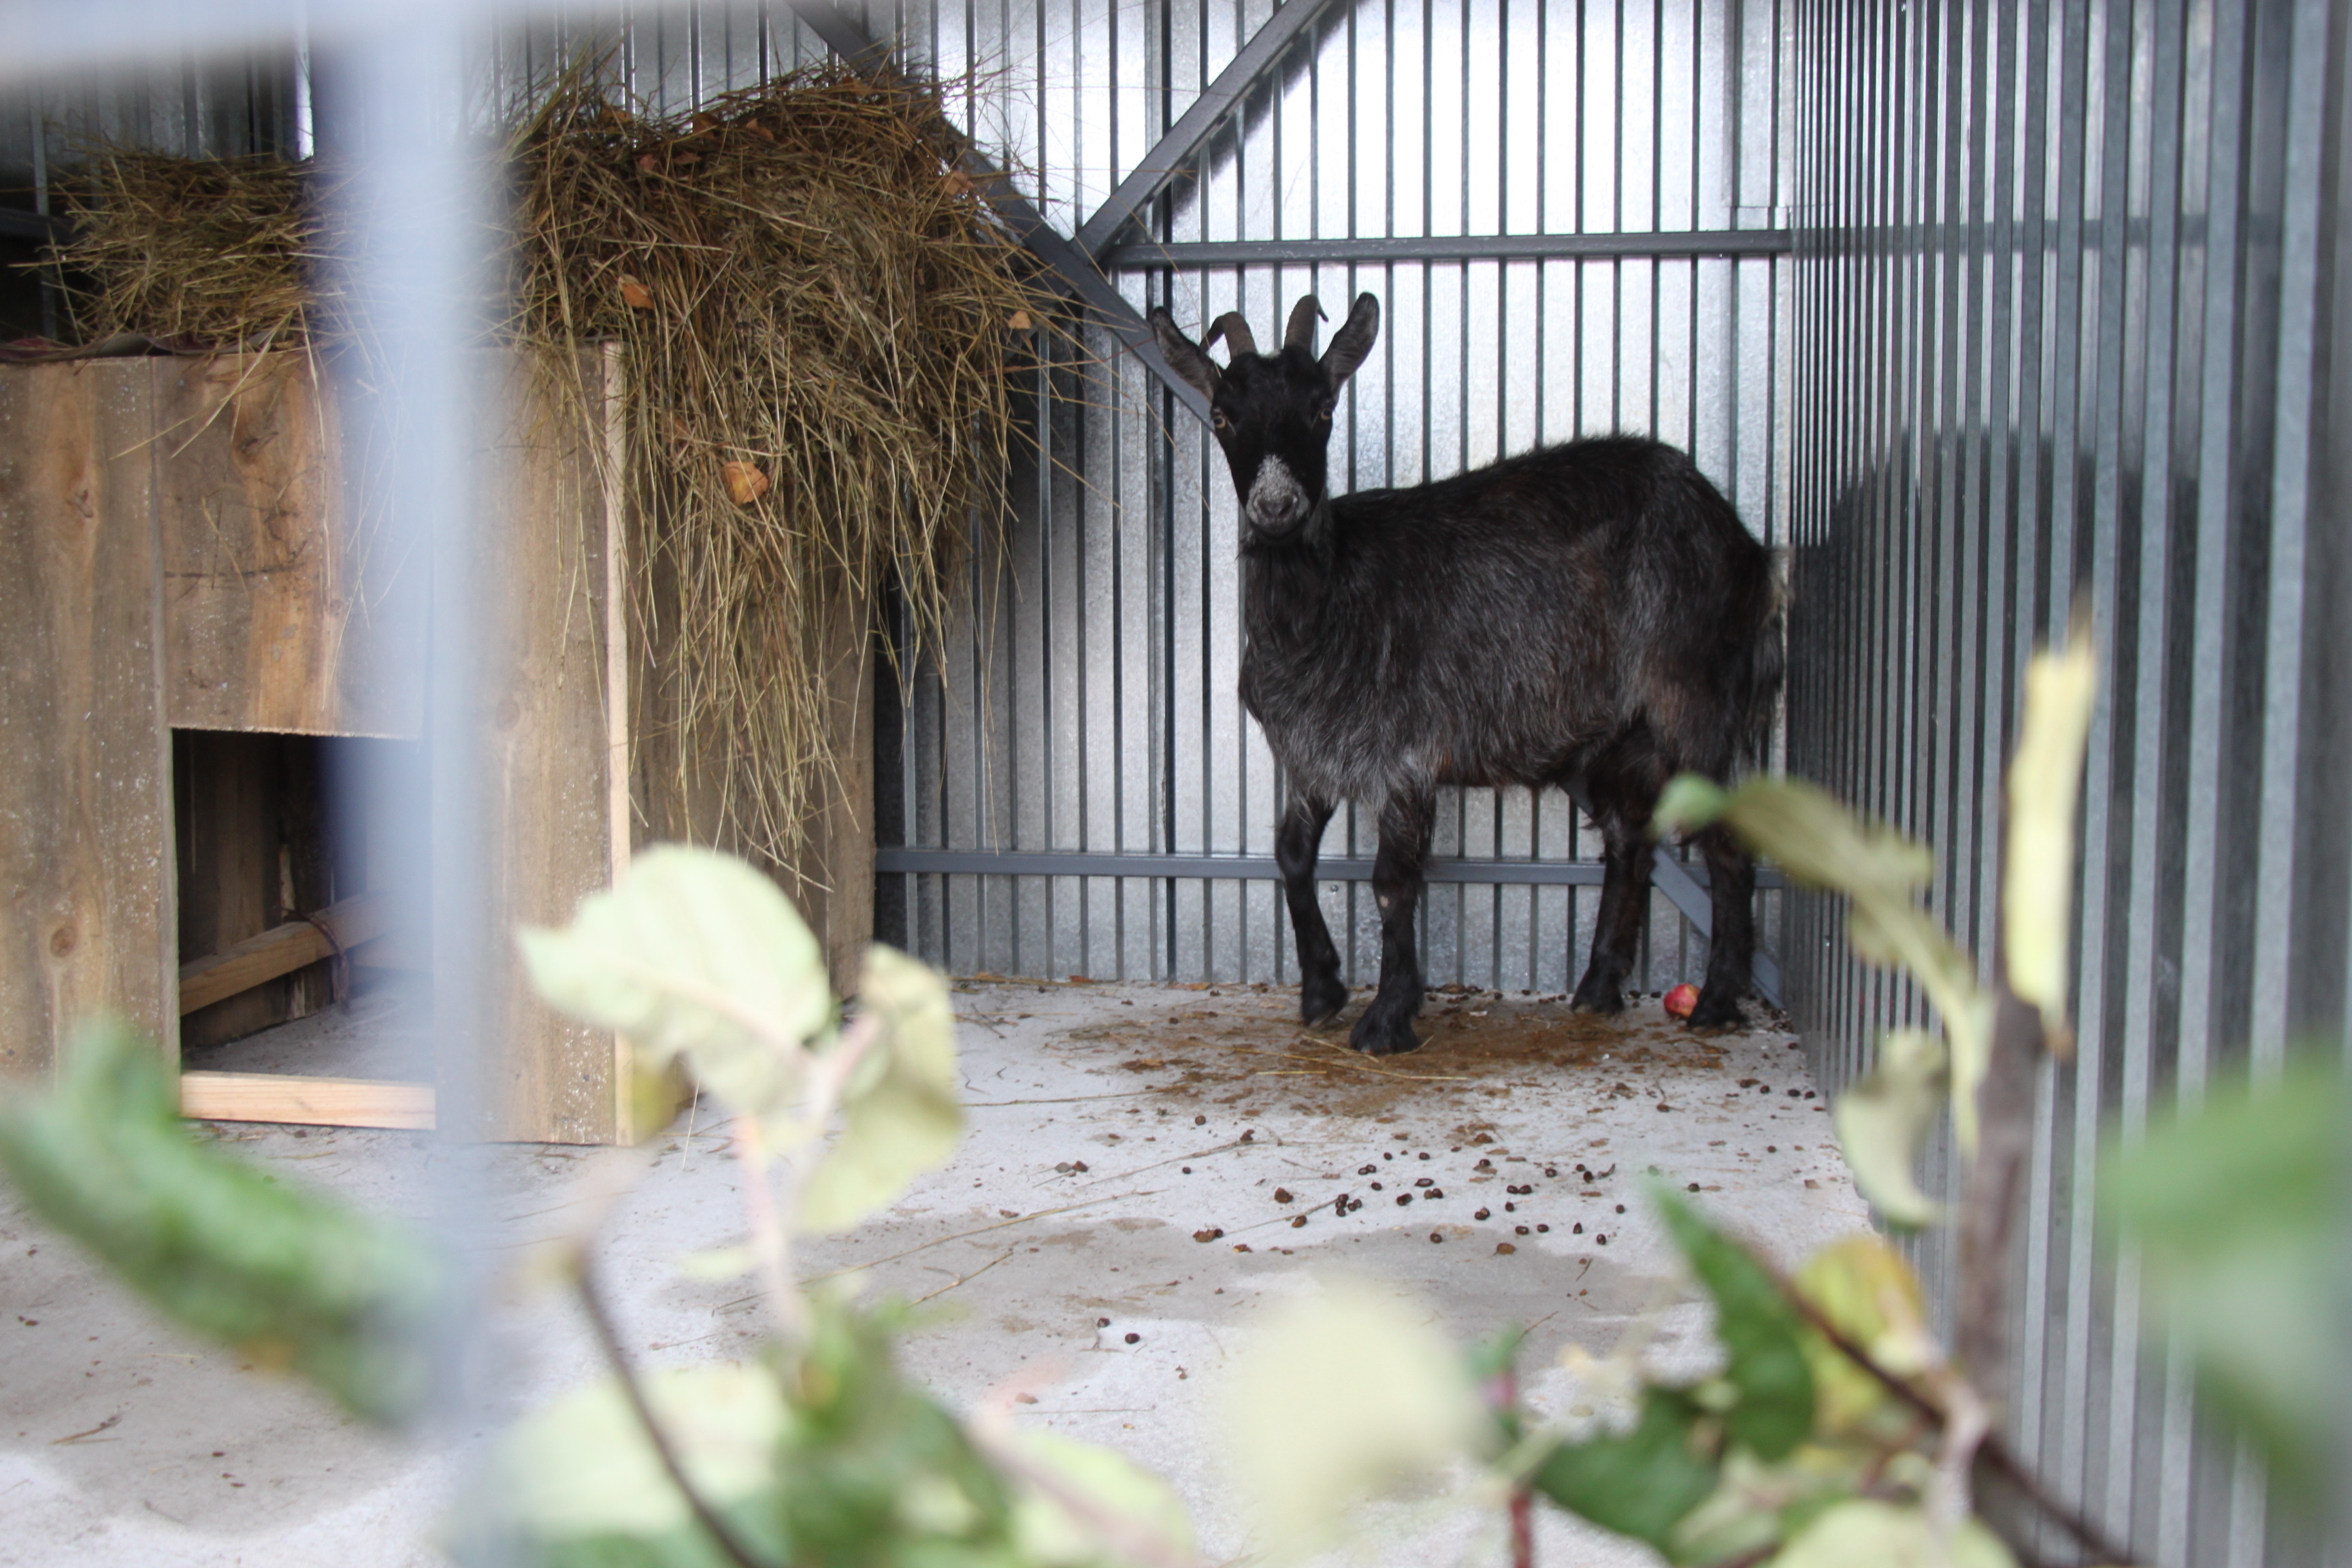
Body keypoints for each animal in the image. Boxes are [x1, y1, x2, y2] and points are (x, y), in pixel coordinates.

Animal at [1143, 293, 1778, 1053]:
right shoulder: (1312, 754)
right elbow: (1291, 855)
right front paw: (1322, 991)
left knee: (1729, 845)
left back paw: (1716, 1002)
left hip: (1692, 697)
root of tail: (1743, 542)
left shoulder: (1404, 757)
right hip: (1613, 732)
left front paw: (1387, 1018)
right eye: (1223, 416)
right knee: (1630, 841)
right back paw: (1598, 989)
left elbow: (1392, 881)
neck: (1324, 608)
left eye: (1322, 408)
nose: (1275, 508)